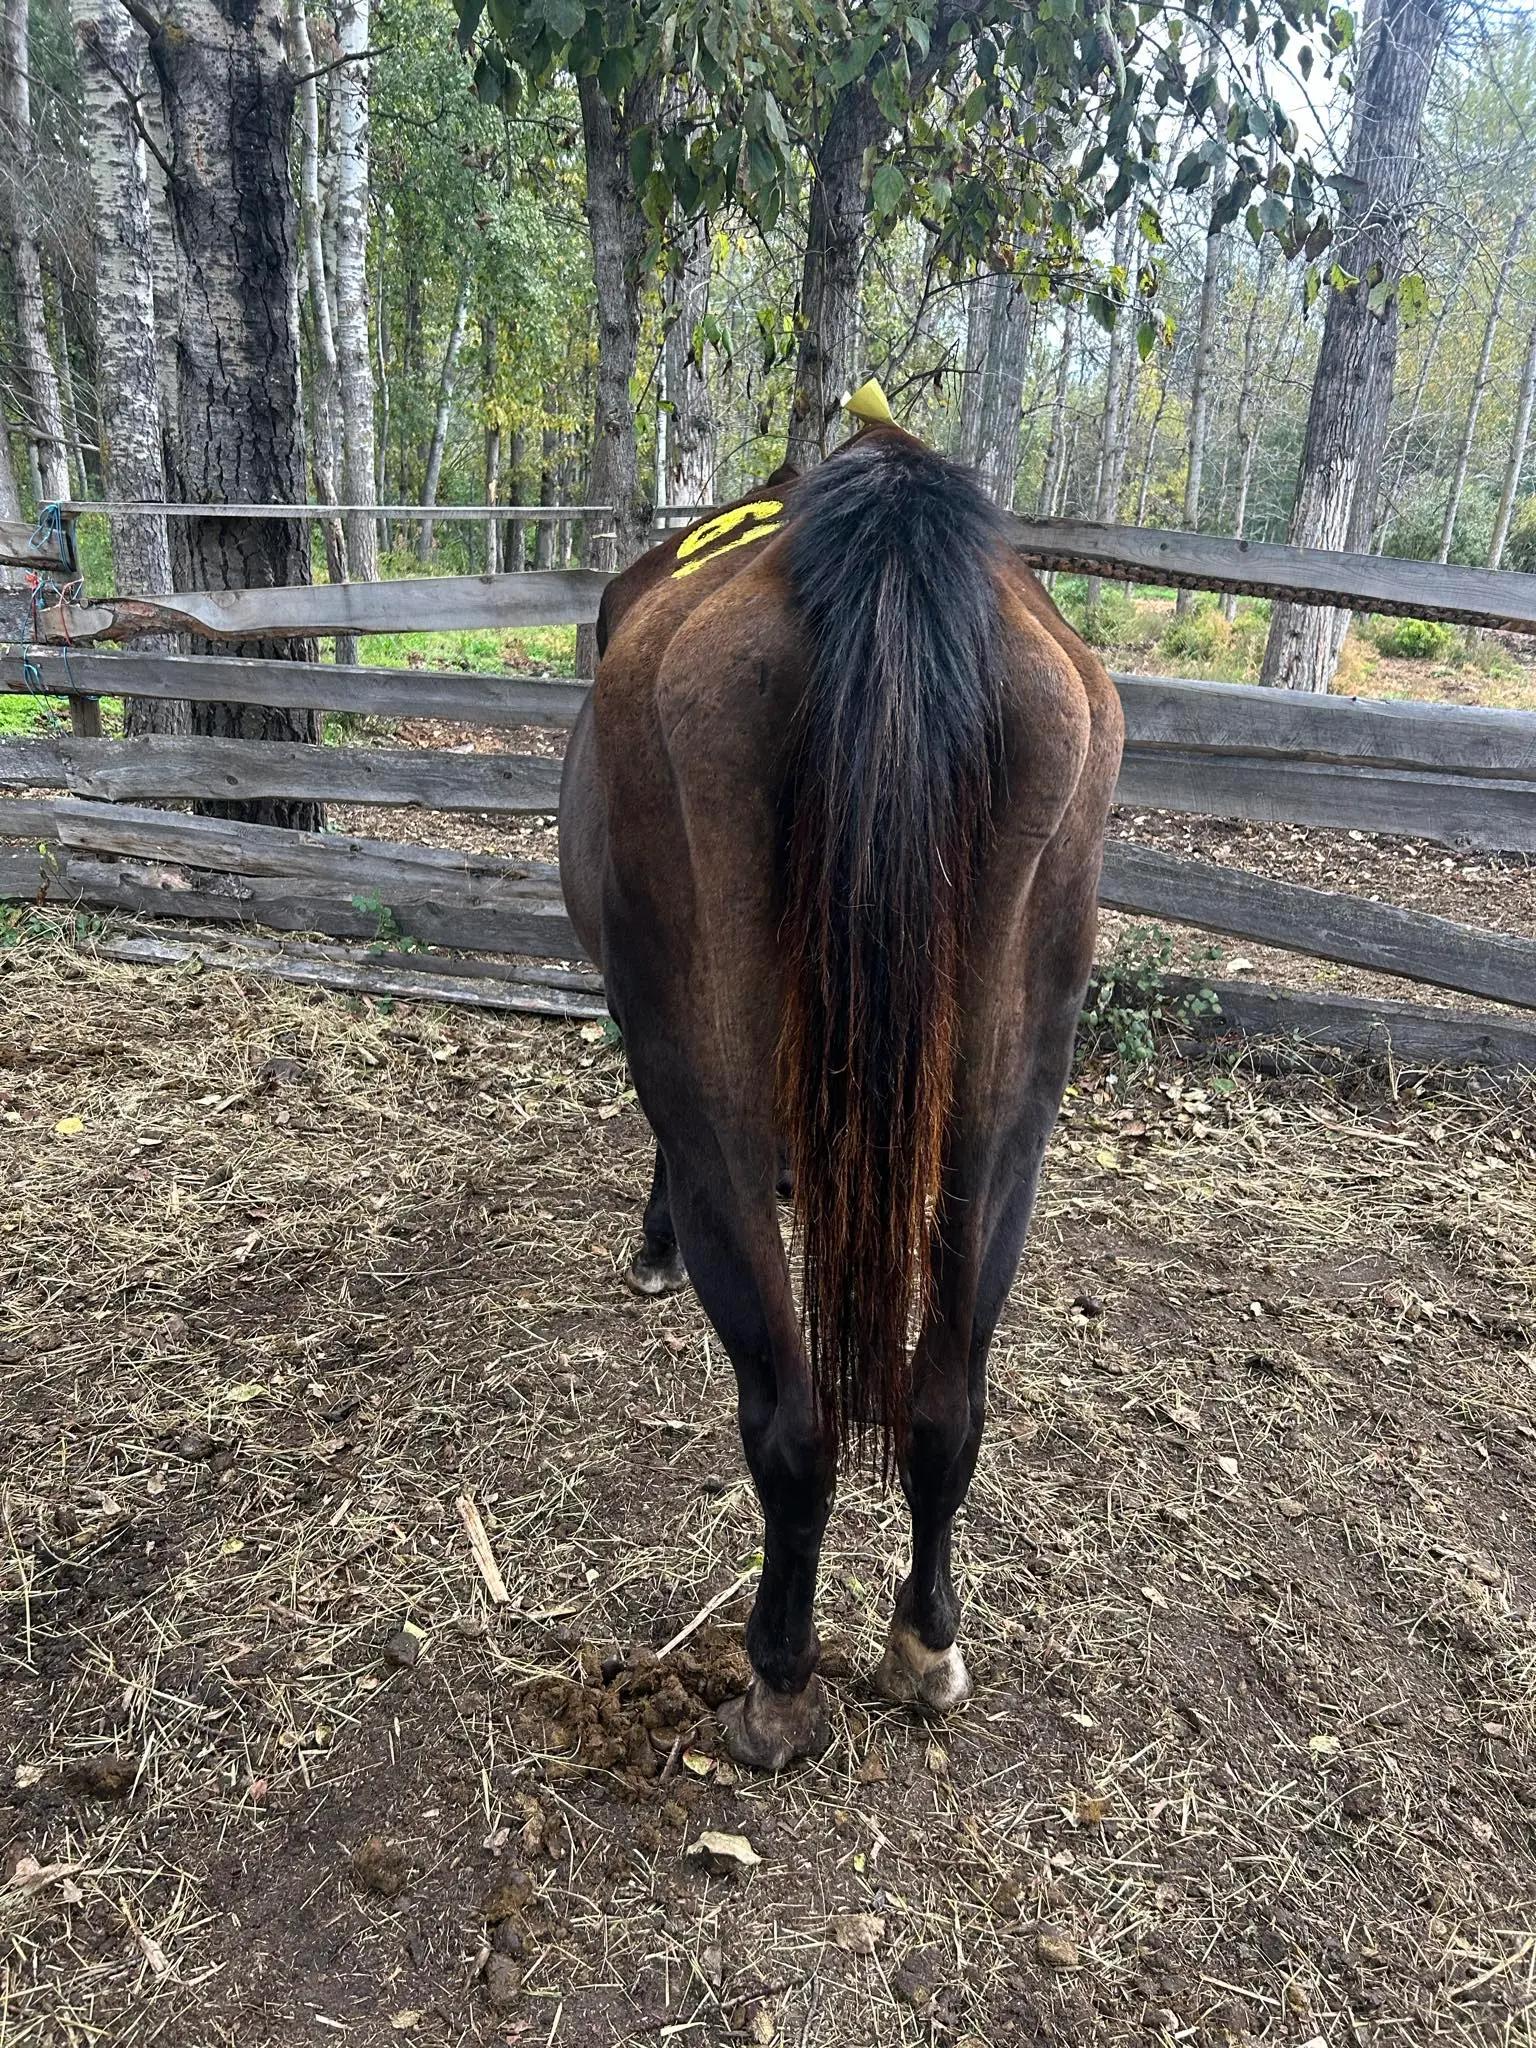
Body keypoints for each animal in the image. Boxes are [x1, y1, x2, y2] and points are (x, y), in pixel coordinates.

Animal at [558, 422, 1123, 1770]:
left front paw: (651, 1244)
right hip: (1007, 1114)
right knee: (946, 1403)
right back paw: (924, 1640)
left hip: (704, 1077)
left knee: (791, 1422)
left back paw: (778, 1672)